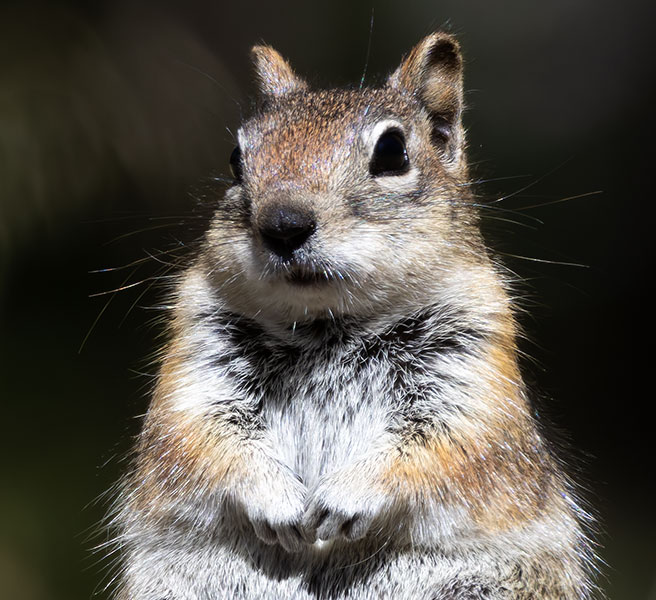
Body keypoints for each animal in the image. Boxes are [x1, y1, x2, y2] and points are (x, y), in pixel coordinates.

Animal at [110, 32, 597, 599]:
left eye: (392, 152)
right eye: (235, 158)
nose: (283, 224)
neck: (326, 324)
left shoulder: (474, 381)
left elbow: (438, 449)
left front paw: (344, 498)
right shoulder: (196, 365)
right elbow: (205, 440)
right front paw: (279, 503)